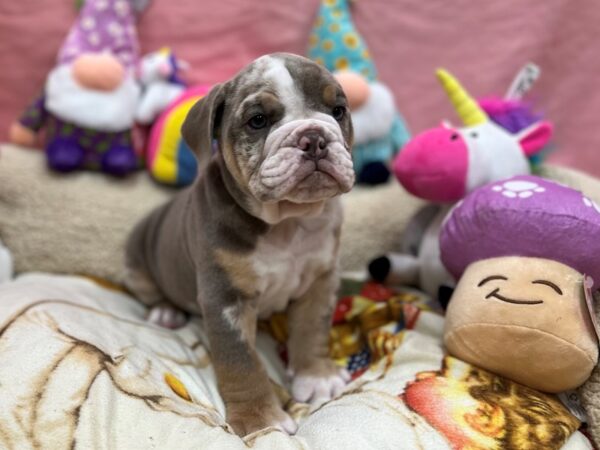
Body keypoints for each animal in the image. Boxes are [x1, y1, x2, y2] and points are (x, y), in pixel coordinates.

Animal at [124, 52, 354, 436]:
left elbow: (312, 329)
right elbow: (242, 361)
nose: (314, 137)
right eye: (257, 120)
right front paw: (261, 419)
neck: (286, 222)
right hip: (136, 259)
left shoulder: (320, 281)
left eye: (338, 111)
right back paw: (165, 311)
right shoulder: (226, 299)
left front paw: (317, 376)